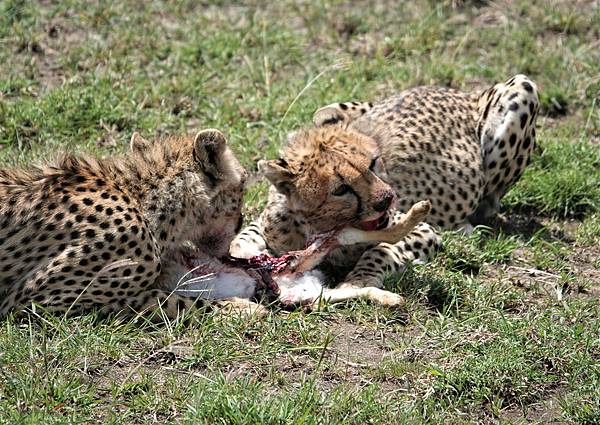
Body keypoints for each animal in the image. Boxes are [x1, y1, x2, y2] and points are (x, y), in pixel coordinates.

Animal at [233, 73, 540, 292]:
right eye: (341, 189)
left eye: (372, 163)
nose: (387, 199)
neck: (320, 228)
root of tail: (460, 93)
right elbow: (245, 237)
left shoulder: (423, 229)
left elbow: (381, 249)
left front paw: (359, 280)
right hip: (324, 111)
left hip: (523, 87)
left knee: (490, 200)